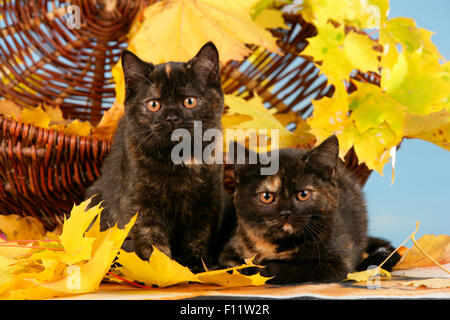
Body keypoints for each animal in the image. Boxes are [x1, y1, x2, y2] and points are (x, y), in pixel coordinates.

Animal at [84, 42, 225, 272]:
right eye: (154, 104)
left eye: (189, 101)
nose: (172, 117)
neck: (177, 161)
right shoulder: (140, 205)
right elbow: (152, 243)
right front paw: (163, 271)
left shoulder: (208, 201)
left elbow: (199, 238)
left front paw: (195, 268)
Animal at [220, 136, 400, 284]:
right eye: (266, 196)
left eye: (303, 194)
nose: (286, 212)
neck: (279, 244)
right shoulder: (232, 247)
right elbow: (229, 266)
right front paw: (245, 268)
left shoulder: (338, 262)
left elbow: (293, 268)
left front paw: (263, 269)